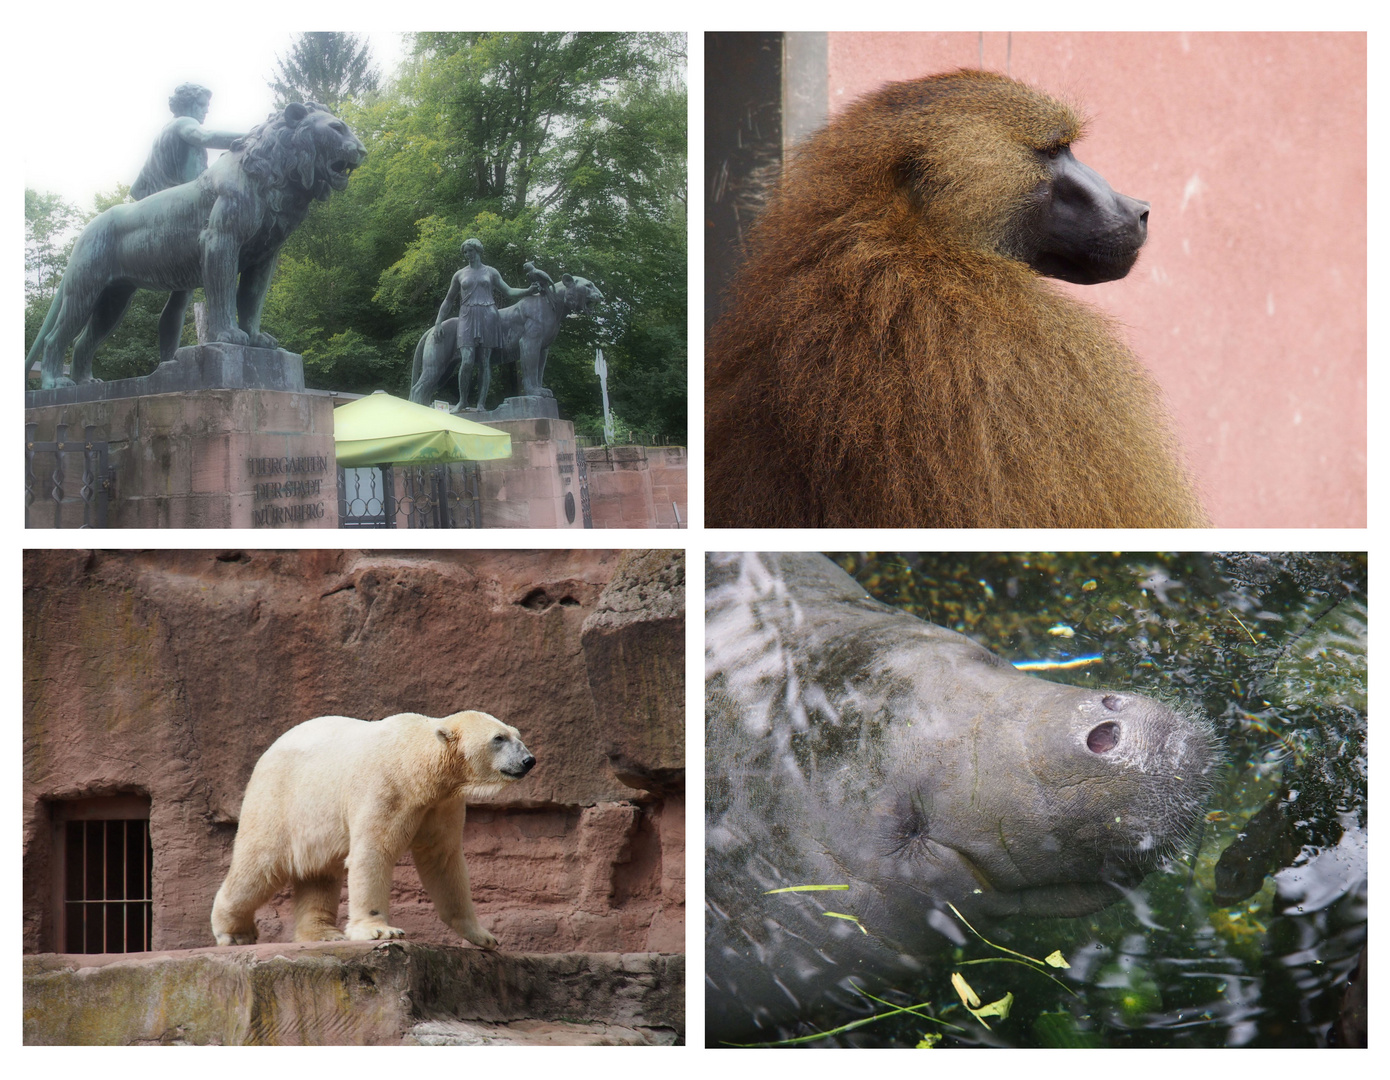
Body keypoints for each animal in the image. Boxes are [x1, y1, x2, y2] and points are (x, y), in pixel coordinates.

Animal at [209, 711, 530, 950]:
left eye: (517, 735)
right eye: (498, 738)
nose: (529, 760)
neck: (415, 763)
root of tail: (266, 754)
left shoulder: (441, 804)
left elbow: (444, 859)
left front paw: (483, 935)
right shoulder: (385, 788)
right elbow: (373, 851)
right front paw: (380, 930)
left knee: (319, 874)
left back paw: (323, 934)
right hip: (279, 802)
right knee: (259, 866)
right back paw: (234, 932)